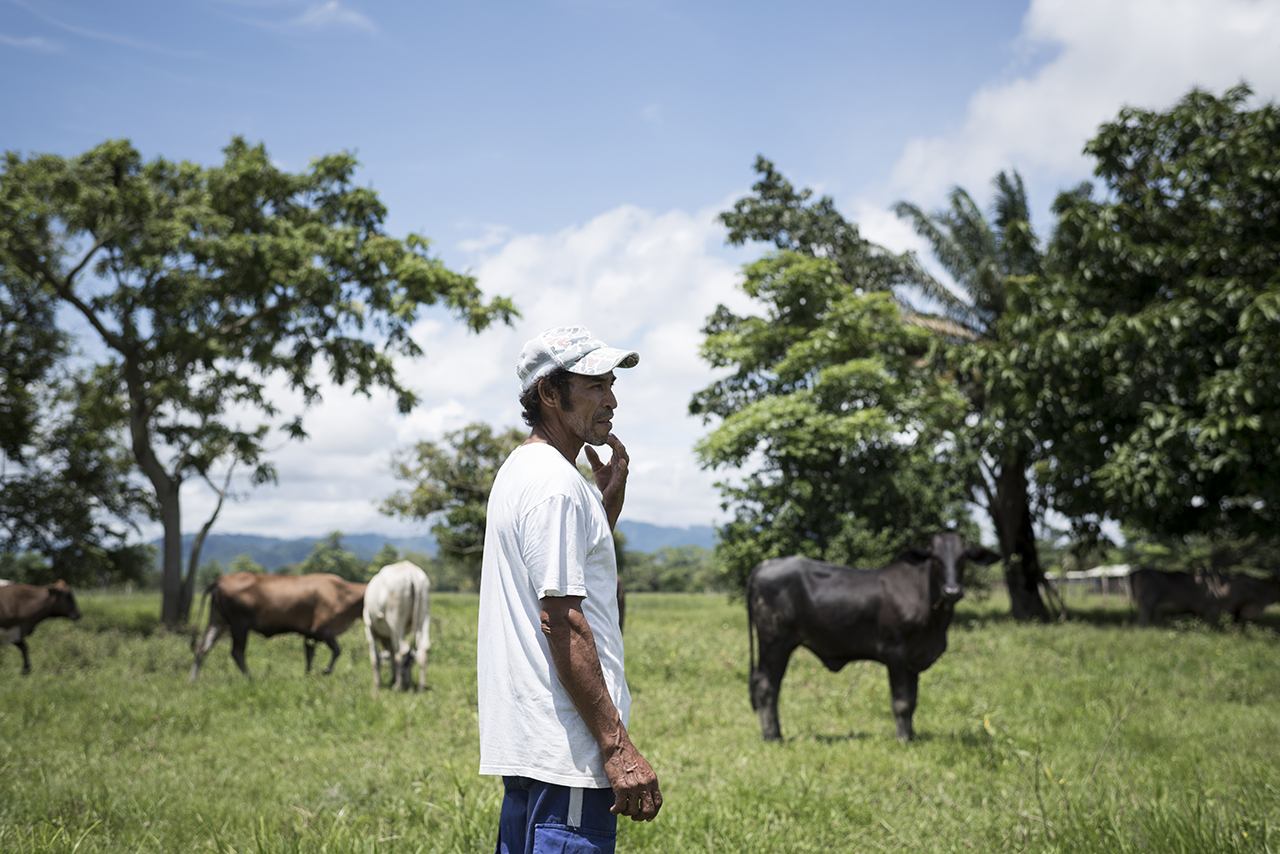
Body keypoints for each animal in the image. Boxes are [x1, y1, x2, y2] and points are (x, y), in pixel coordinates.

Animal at [192, 571, 368, 686]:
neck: (342, 593)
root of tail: (222, 578)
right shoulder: (321, 629)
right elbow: (337, 650)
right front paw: (325, 670)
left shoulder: (309, 634)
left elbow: (309, 655)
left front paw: (308, 675)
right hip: (239, 626)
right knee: (236, 652)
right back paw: (249, 677)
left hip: (218, 623)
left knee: (202, 647)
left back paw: (193, 680)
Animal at [363, 560, 432, 696]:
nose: (407, 681)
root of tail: (411, 571)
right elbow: (392, 657)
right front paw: (394, 678)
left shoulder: (369, 627)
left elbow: (375, 658)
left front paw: (377, 685)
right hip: (424, 615)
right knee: (423, 649)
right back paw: (419, 688)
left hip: (395, 618)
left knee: (400, 651)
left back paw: (398, 687)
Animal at [747, 535, 1003, 742]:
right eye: (935, 557)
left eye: (963, 557)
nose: (952, 590)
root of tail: (766, 563)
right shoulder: (895, 652)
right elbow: (901, 702)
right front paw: (903, 739)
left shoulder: (914, 659)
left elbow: (912, 701)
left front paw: (912, 735)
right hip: (774, 642)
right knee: (766, 686)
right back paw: (773, 736)